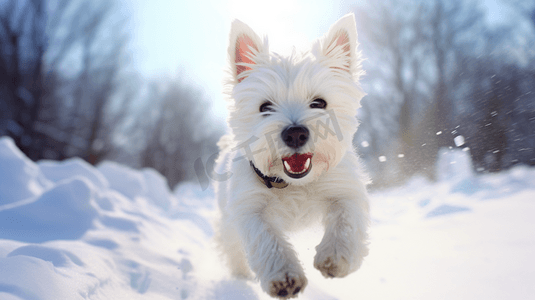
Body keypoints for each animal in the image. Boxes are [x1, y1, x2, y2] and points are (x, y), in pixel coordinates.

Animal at [216, 13, 370, 298]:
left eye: (319, 103)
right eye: (265, 107)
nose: (295, 133)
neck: (294, 184)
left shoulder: (344, 188)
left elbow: (345, 220)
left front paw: (335, 257)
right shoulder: (249, 207)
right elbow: (266, 238)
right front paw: (284, 277)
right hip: (227, 222)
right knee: (232, 247)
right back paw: (240, 277)